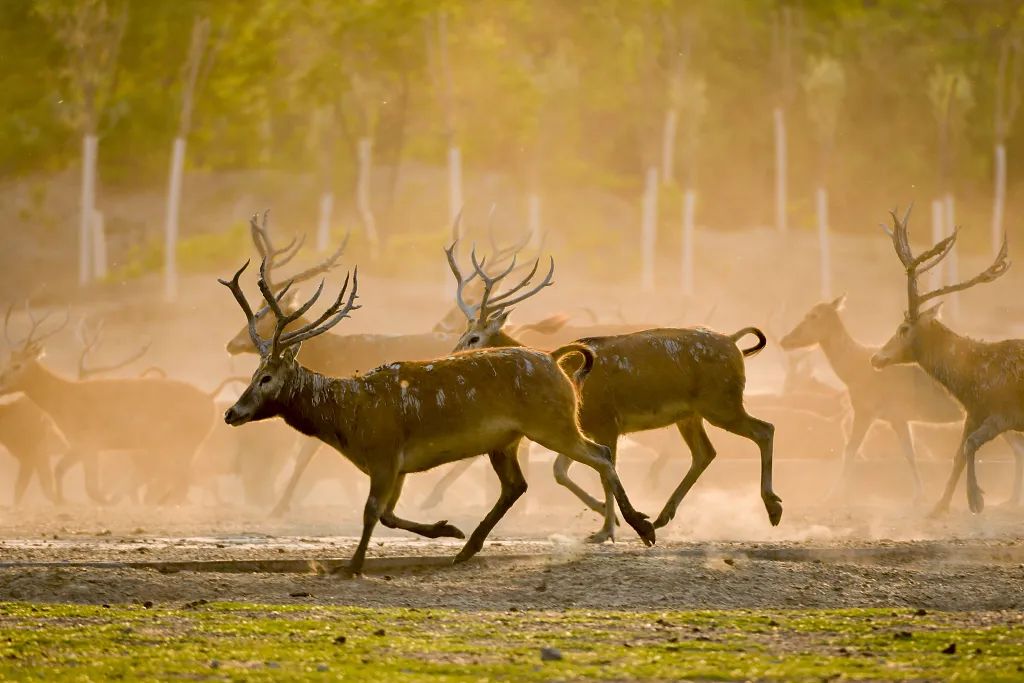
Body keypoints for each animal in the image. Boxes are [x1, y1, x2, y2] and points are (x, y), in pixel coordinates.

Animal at [221, 259, 659, 573]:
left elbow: (371, 511)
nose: (231, 412)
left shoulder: (384, 454)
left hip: (553, 424)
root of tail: (555, 360)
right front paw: (446, 529)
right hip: (507, 440)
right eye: (253, 375)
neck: (348, 418)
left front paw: (352, 565)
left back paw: (643, 526)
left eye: (266, 377)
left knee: (600, 453)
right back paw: (466, 548)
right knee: (516, 486)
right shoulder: (396, 465)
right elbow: (389, 515)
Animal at [444, 242, 778, 540]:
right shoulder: (584, 425)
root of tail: (734, 342)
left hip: (722, 402)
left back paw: (773, 508)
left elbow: (605, 472)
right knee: (705, 453)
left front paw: (606, 530)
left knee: (765, 429)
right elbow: (560, 470)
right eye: (463, 333)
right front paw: (611, 518)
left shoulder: (607, 420)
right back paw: (661, 517)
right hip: (691, 414)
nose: (451, 357)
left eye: (474, 337)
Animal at [782, 294, 1024, 501]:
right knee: (1017, 448)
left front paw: (831, 496)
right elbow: (909, 452)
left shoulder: (866, 409)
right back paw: (1012, 499)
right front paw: (919, 496)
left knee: (1017, 448)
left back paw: (1011, 499)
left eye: (813, 315)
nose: (785, 339)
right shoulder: (897, 415)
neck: (854, 373)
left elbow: (850, 450)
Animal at [872, 205, 1024, 516]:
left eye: (903, 328)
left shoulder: (1006, 412)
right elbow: (957, 455)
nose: (875, 357)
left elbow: (970, 445)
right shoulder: (973, 412)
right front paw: (938, 507)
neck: (971, 381)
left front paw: (975, 499)